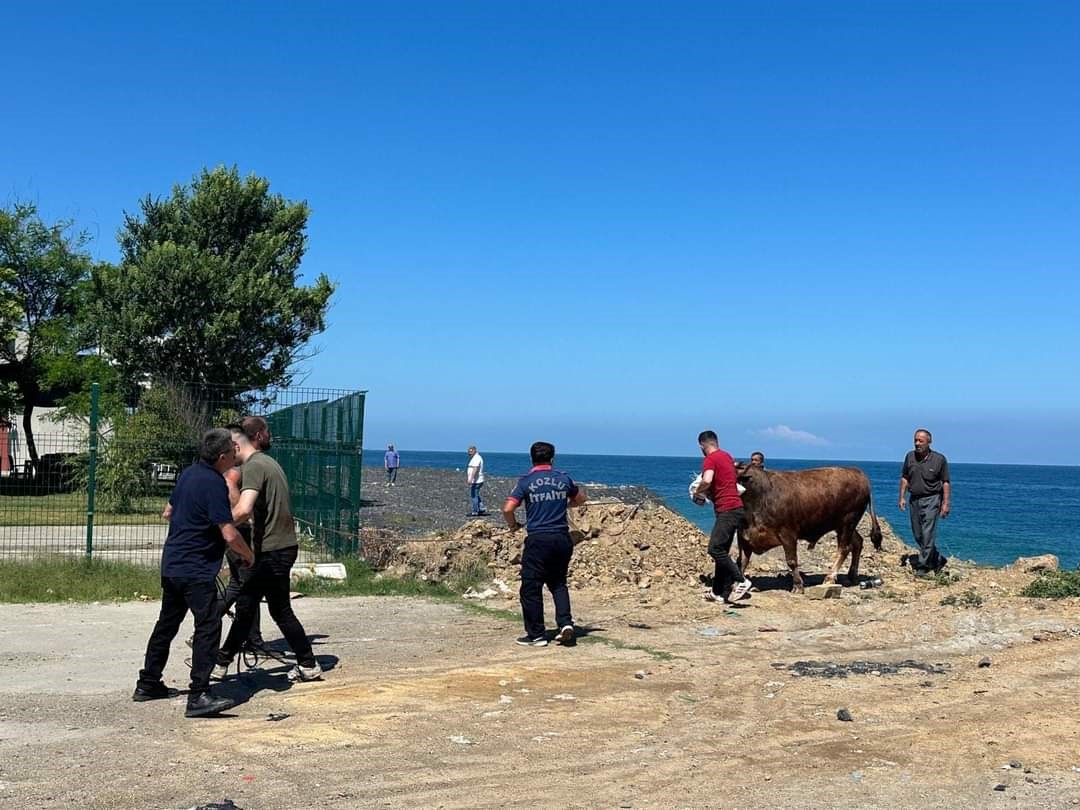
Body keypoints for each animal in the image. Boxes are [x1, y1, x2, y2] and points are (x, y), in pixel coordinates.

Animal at [734, 466, 885, 591]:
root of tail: (858, 473)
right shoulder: (743, 536)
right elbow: (742, 562)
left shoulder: (788, 533)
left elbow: (791, 561)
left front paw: (798, 585)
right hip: (842, 525)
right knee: (858, 542)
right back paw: (852, 574)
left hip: (848, 522)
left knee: (844, 548)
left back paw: (830, 578)